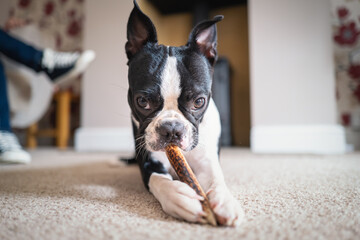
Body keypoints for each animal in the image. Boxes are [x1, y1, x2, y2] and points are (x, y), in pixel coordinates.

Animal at [124, 1, 245, 227]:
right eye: (142, 102)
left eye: (199, 102)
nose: (171, 129)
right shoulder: (148, 162)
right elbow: (160, 181)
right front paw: (181, 198)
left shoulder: (207, 161)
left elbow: (216, 177)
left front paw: (225, 200)